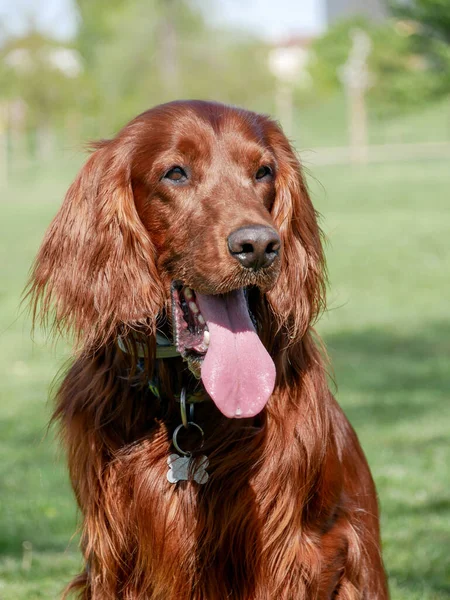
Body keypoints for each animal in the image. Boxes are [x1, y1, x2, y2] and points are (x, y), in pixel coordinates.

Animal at [28, 101, 388, 596]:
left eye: (263, 171)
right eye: (176, 173)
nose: (258, 245)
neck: (187, 401)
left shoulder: (296, 552)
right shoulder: (112, 553)